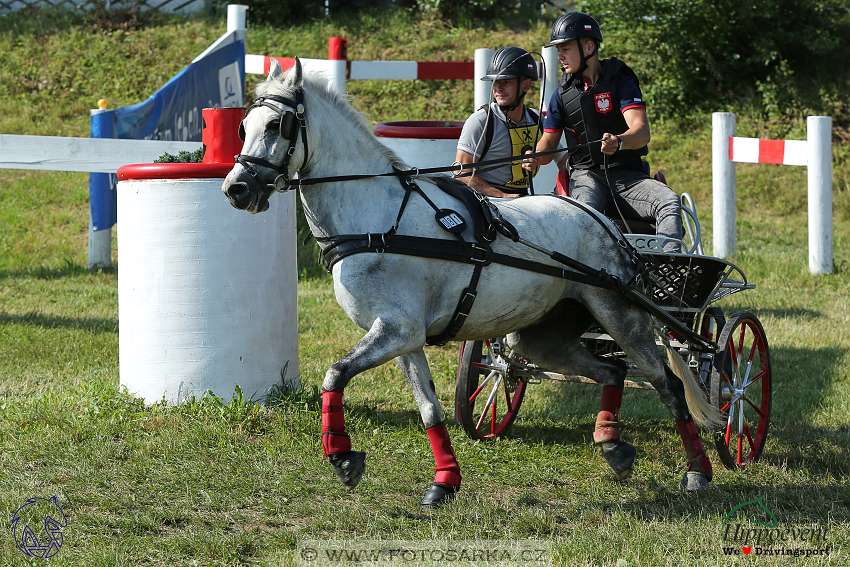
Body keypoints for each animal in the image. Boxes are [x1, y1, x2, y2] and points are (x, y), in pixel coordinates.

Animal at [222, 58, 720, 510]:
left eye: (278, 125)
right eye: (243, 126)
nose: (235, 189)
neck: (377, 219)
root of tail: (602, 221)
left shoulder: (395, 330)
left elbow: (335, 374)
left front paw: (343, 459)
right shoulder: (405, 338)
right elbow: (430, 410)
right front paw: (445, 481)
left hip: (620, 315)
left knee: (667, 383)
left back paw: (697, 471)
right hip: (543, 338)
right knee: (612, 371)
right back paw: (612, 445)